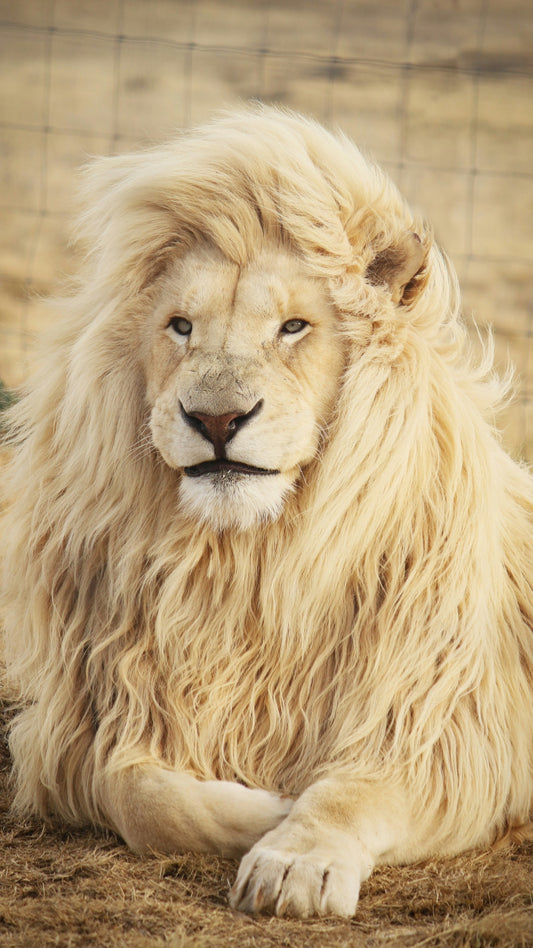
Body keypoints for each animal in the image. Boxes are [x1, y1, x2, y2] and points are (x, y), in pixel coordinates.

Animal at [2, 105, 532, 919]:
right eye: (180, 326)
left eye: (293, 328)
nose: (216, 420)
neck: (247, 564)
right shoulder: (89, 724)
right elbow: (139, 795)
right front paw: (265, 809)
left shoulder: (449, 729)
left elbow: (350, 792)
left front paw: (294, 858)